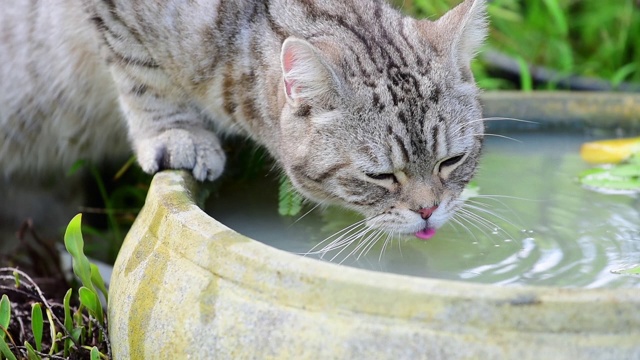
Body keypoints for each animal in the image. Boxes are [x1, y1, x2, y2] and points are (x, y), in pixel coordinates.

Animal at [0, 0, 488, 239]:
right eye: (380, 175)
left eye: (452, 161)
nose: (428, 211)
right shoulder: (114, 16)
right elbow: (141, 70)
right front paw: (176, 132)